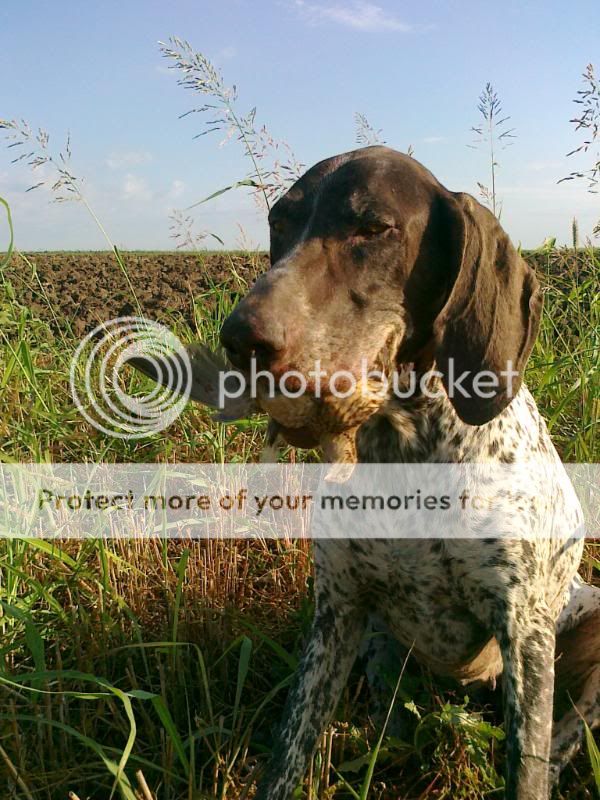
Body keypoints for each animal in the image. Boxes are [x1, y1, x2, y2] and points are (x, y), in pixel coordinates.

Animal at [213, 147, 596, 796]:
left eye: (373, 228)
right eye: (280, 224)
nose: (240, 338)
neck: (408, 442)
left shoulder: (522, 627)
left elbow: (527, 768)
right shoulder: (337, 612)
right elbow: (289, 752)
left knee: (558, 743)